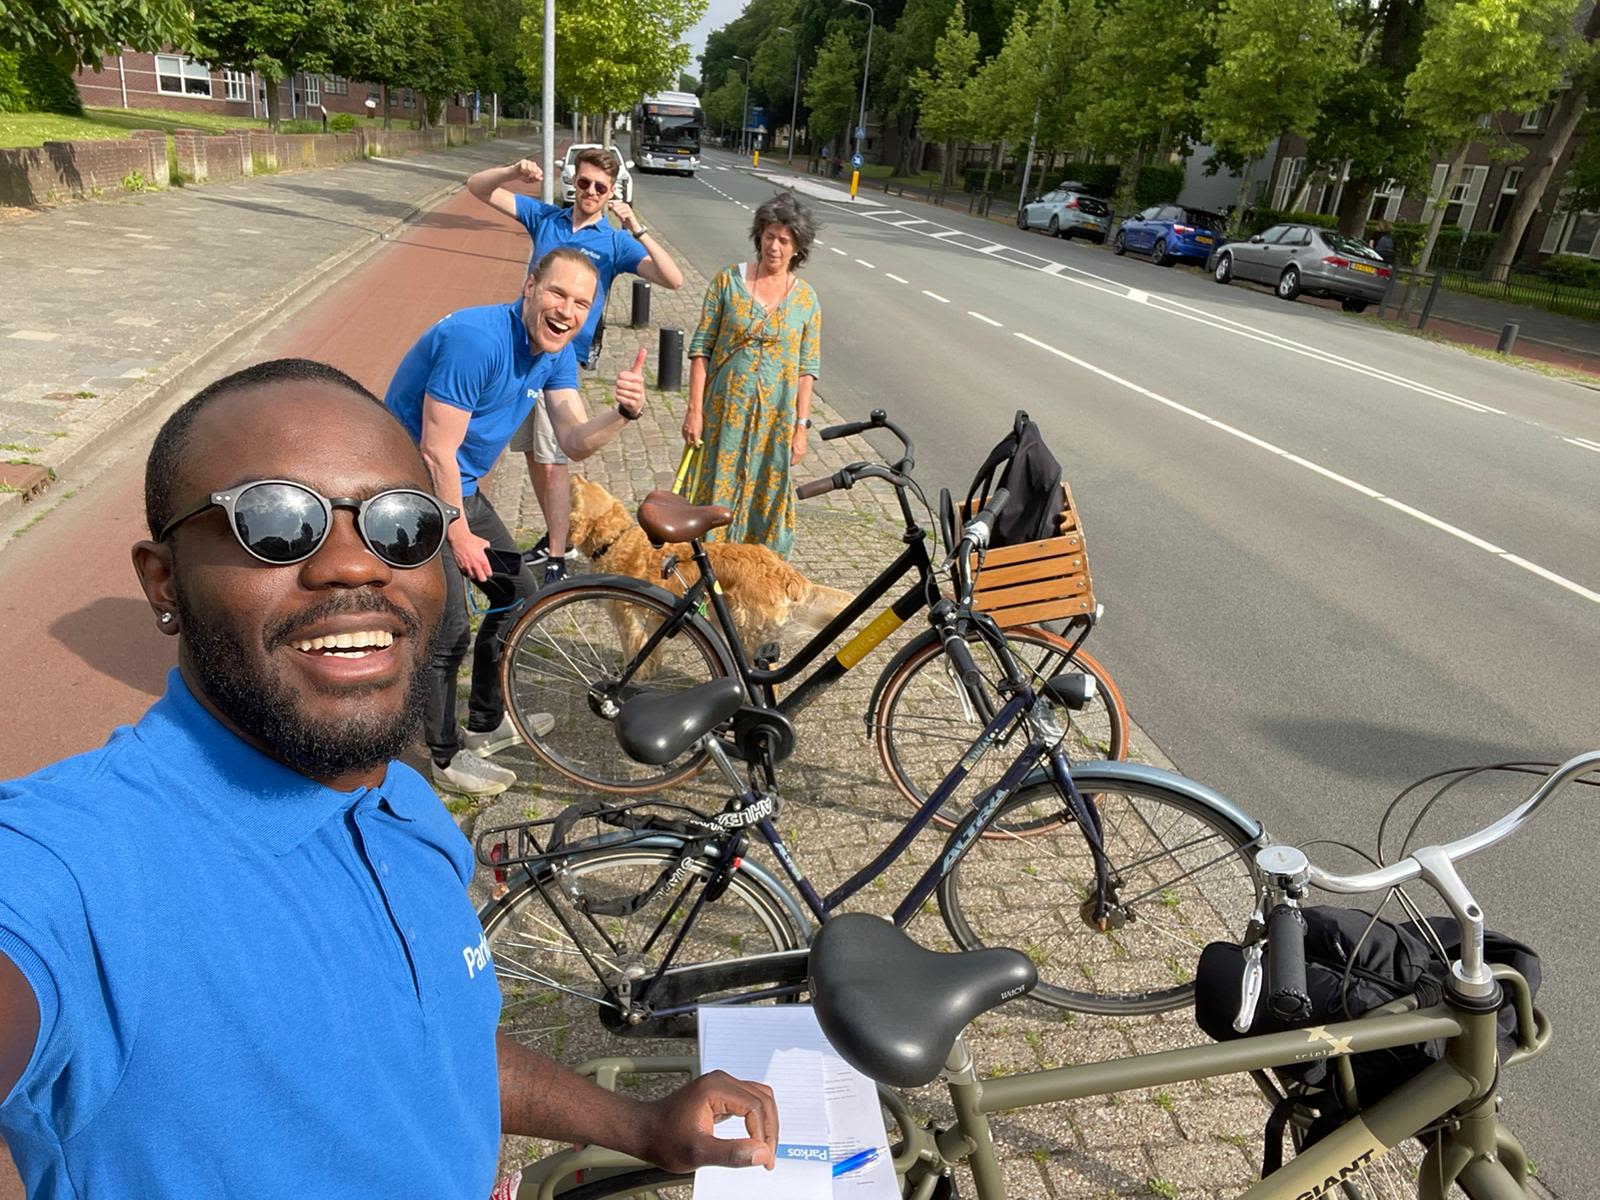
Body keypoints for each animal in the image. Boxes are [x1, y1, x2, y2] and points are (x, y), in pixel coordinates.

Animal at [567, 474, 854, 657]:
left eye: (578, 493)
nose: (575, 473)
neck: (617, 540)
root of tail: (783, 570)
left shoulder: (631, 626)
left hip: (746, 632)